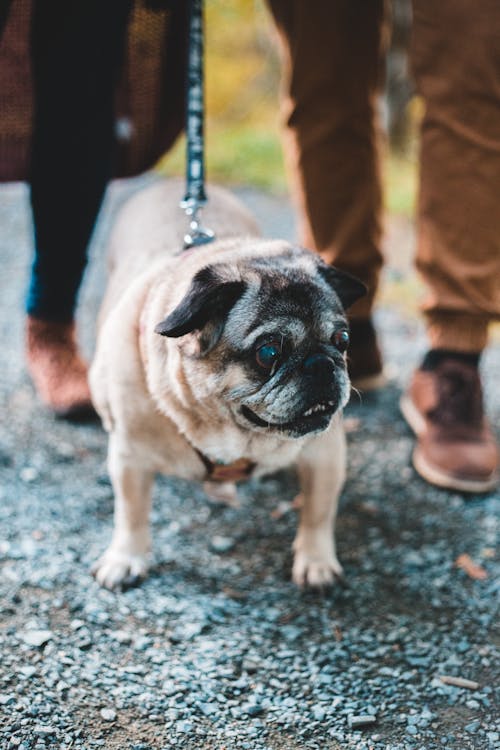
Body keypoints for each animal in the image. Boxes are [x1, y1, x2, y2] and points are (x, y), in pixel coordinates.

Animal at [89, 179, 364, 592]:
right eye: (268, 352)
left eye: (343, 340)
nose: (321, 365)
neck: (233, 435)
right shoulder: (129, 458)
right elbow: (131, 512)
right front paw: (126, 558)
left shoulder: (325, 453)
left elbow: (319, 511)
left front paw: (316, 561)